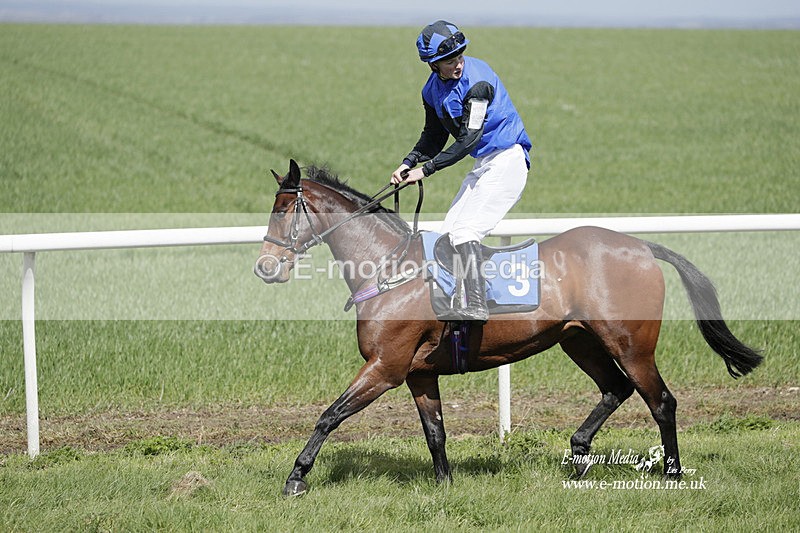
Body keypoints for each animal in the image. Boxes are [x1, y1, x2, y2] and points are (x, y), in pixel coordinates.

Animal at [254, 160, 762, 496]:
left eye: (283, 210)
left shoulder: (386, 367)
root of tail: (640, 246)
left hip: (631, 344)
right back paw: (578, 453)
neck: (388, 268)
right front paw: (445, 483)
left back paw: (672, 472)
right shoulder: (419, 373)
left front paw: (296, 476)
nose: (265, 267)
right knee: (615, 389)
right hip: (580, 341)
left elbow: (330, 415)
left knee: (660, 401)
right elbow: (435, 431)